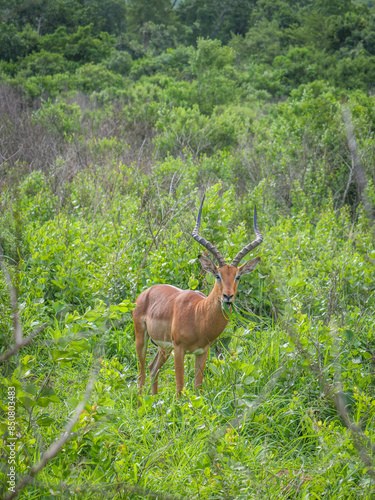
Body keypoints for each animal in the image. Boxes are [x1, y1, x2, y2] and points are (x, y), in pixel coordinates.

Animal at [134, 195, 262, 394]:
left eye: (238, 276)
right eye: (217, 275)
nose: (227, 296)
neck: (198, 315)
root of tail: (146, 292)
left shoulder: (202, 352)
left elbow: (198, 389)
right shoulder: (179, 350)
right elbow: (180, 389)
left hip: (163, 347)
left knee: (153, 368)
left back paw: (154, 401)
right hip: (142, 339)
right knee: (141, 374)